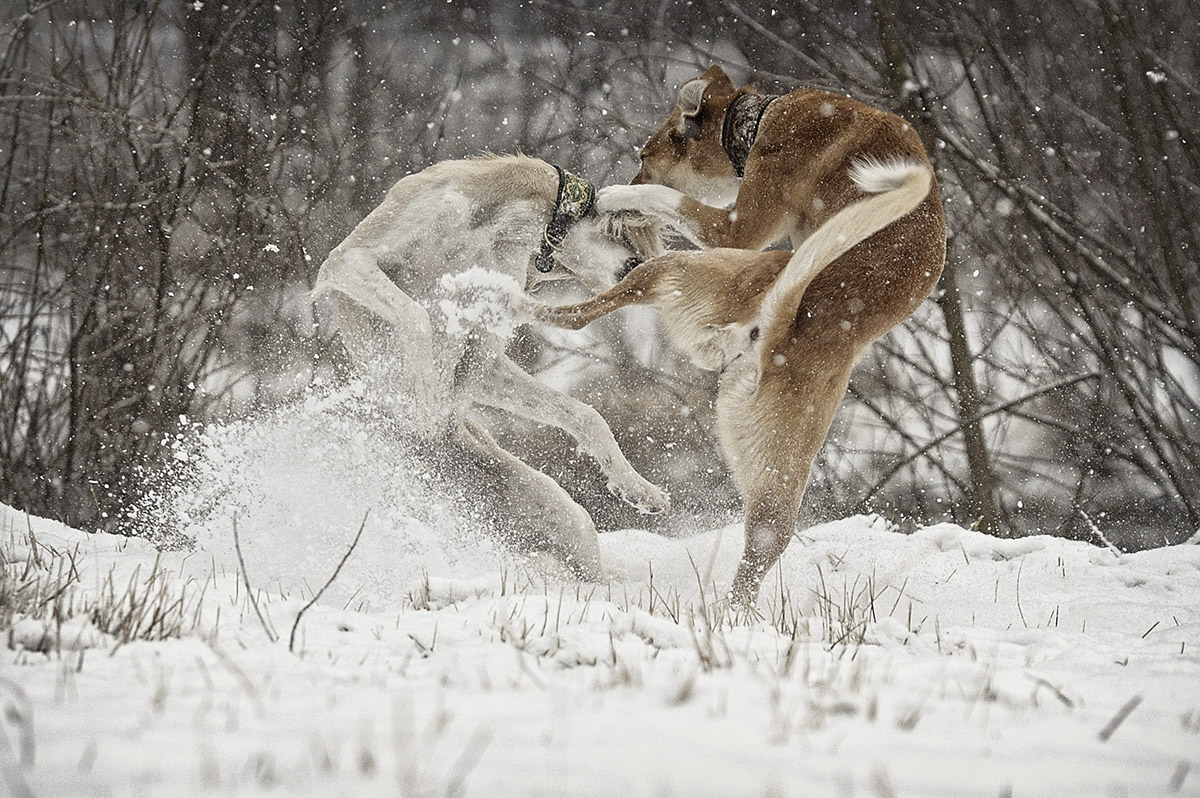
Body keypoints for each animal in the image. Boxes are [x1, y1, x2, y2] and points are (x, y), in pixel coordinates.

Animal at [309, 156, 667, 576]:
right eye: (636, 266)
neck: (504, 221)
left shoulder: (479, 364)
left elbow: (585, 413)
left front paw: (636, 486)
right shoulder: (348, 259)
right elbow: (416, 315)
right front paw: (425, 402)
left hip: (568, 520)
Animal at [537, 66, 945, 604]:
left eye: (644, 157)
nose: (626, 180)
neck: (759, 119)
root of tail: (769, 332)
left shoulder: (735, 229)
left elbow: (668, 198)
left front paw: (616, 197)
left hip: (697, 265)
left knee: (583, 314)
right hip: (779, 480)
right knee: (760, 554)